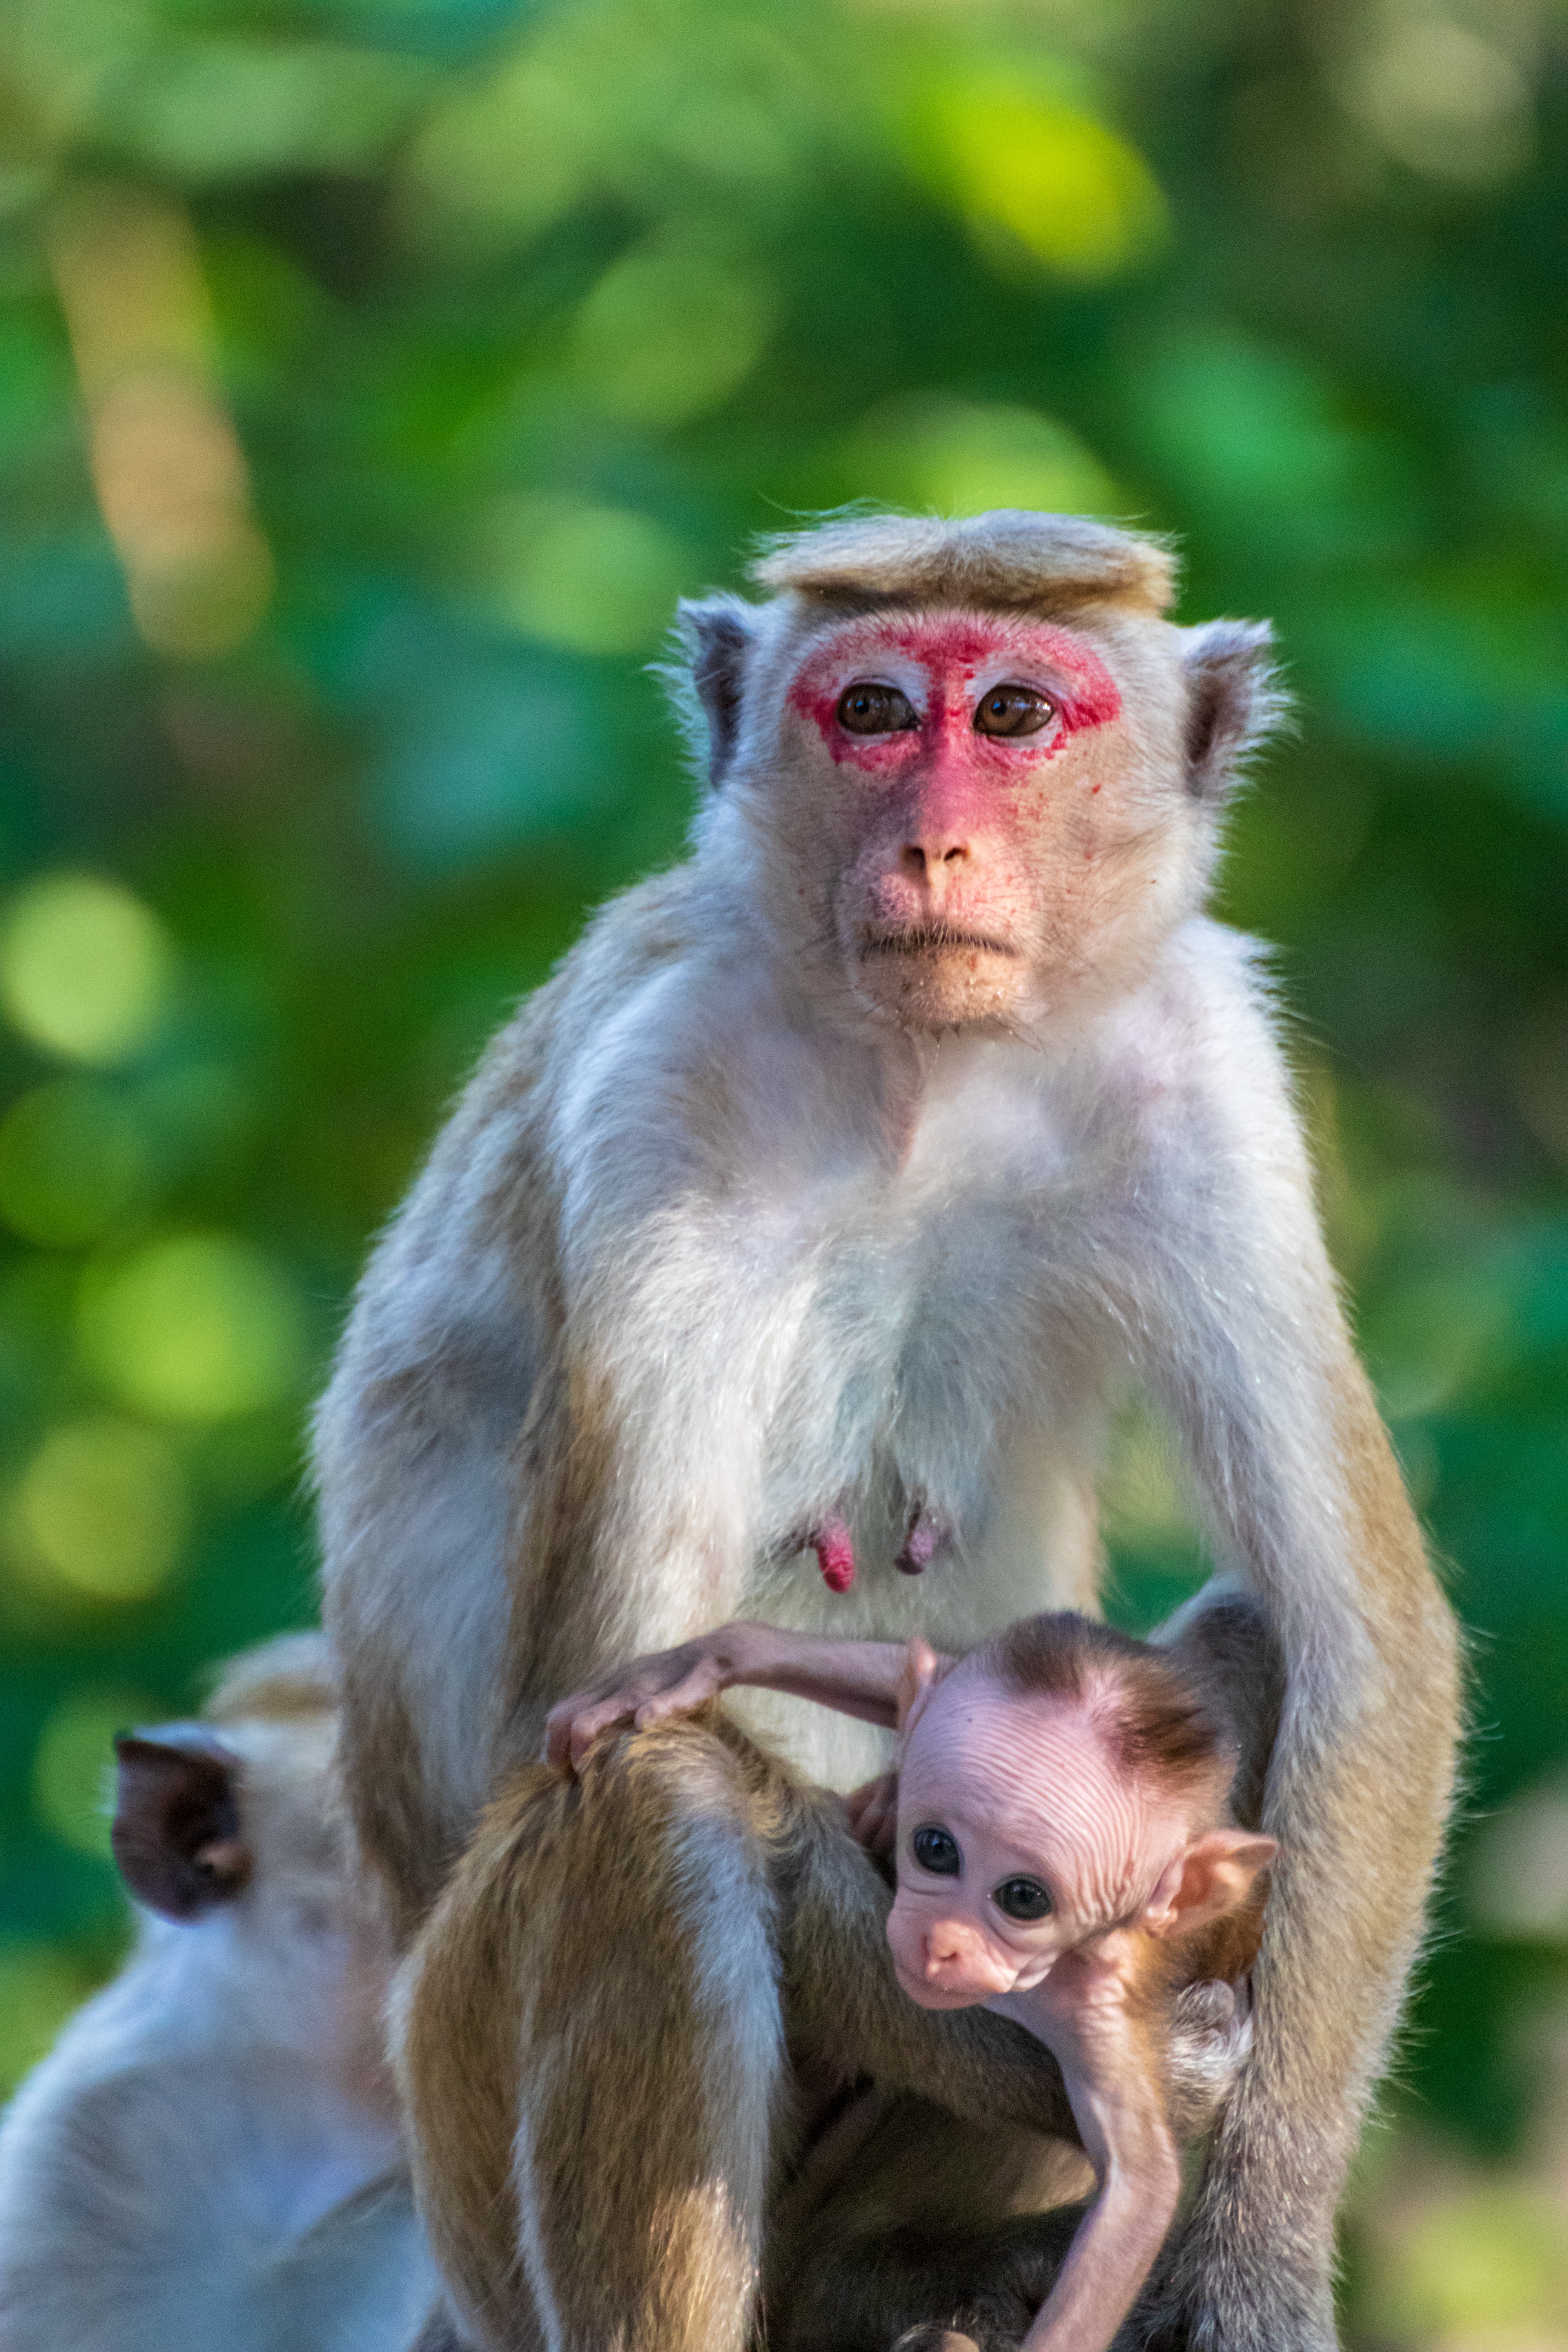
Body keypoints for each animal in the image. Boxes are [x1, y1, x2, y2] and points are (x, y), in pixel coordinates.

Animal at [312, 506, 1467, 2343]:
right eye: (866, 709)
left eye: (1011, 716)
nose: (933, 841)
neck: (929, 1072)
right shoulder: (652, 1096)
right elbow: (592, 1695)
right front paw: (1093, 2049)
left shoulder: (1202, 1062)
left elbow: (1358, 1634)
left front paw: (1252, 2249)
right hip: (461, 2140)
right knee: (650, 1811)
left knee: (1239, 1648)